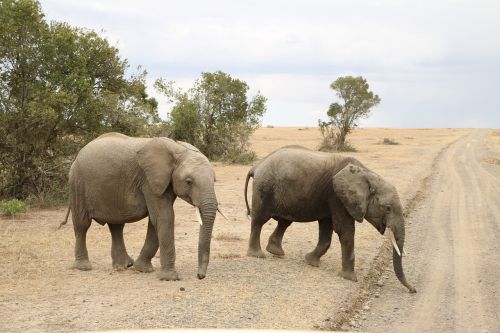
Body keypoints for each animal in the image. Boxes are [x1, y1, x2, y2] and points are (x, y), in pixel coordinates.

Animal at [61, 132, 220, 280]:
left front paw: (142, 269)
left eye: (214, 180)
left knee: (116, 225)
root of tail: (78, 155)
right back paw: (84, 267)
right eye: (188, 182)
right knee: (82, 225)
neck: (178, 148)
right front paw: (170, 278)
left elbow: (156, 221)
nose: (200, 276)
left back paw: (124, 265)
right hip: (77, 183)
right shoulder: (148, 180)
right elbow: (164, 218)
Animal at [244, 144, 416, 292]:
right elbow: (344, 230)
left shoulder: (331, 199)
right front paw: (350, 278)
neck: (367, 174)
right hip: (264, 187)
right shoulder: (337, 196)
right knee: (259, 220)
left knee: (284, 222)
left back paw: (276, 252)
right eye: (388, 208)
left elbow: (327, 230)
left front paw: (311, 262)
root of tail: (256, 166)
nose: (413, 290)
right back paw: (258, 255)